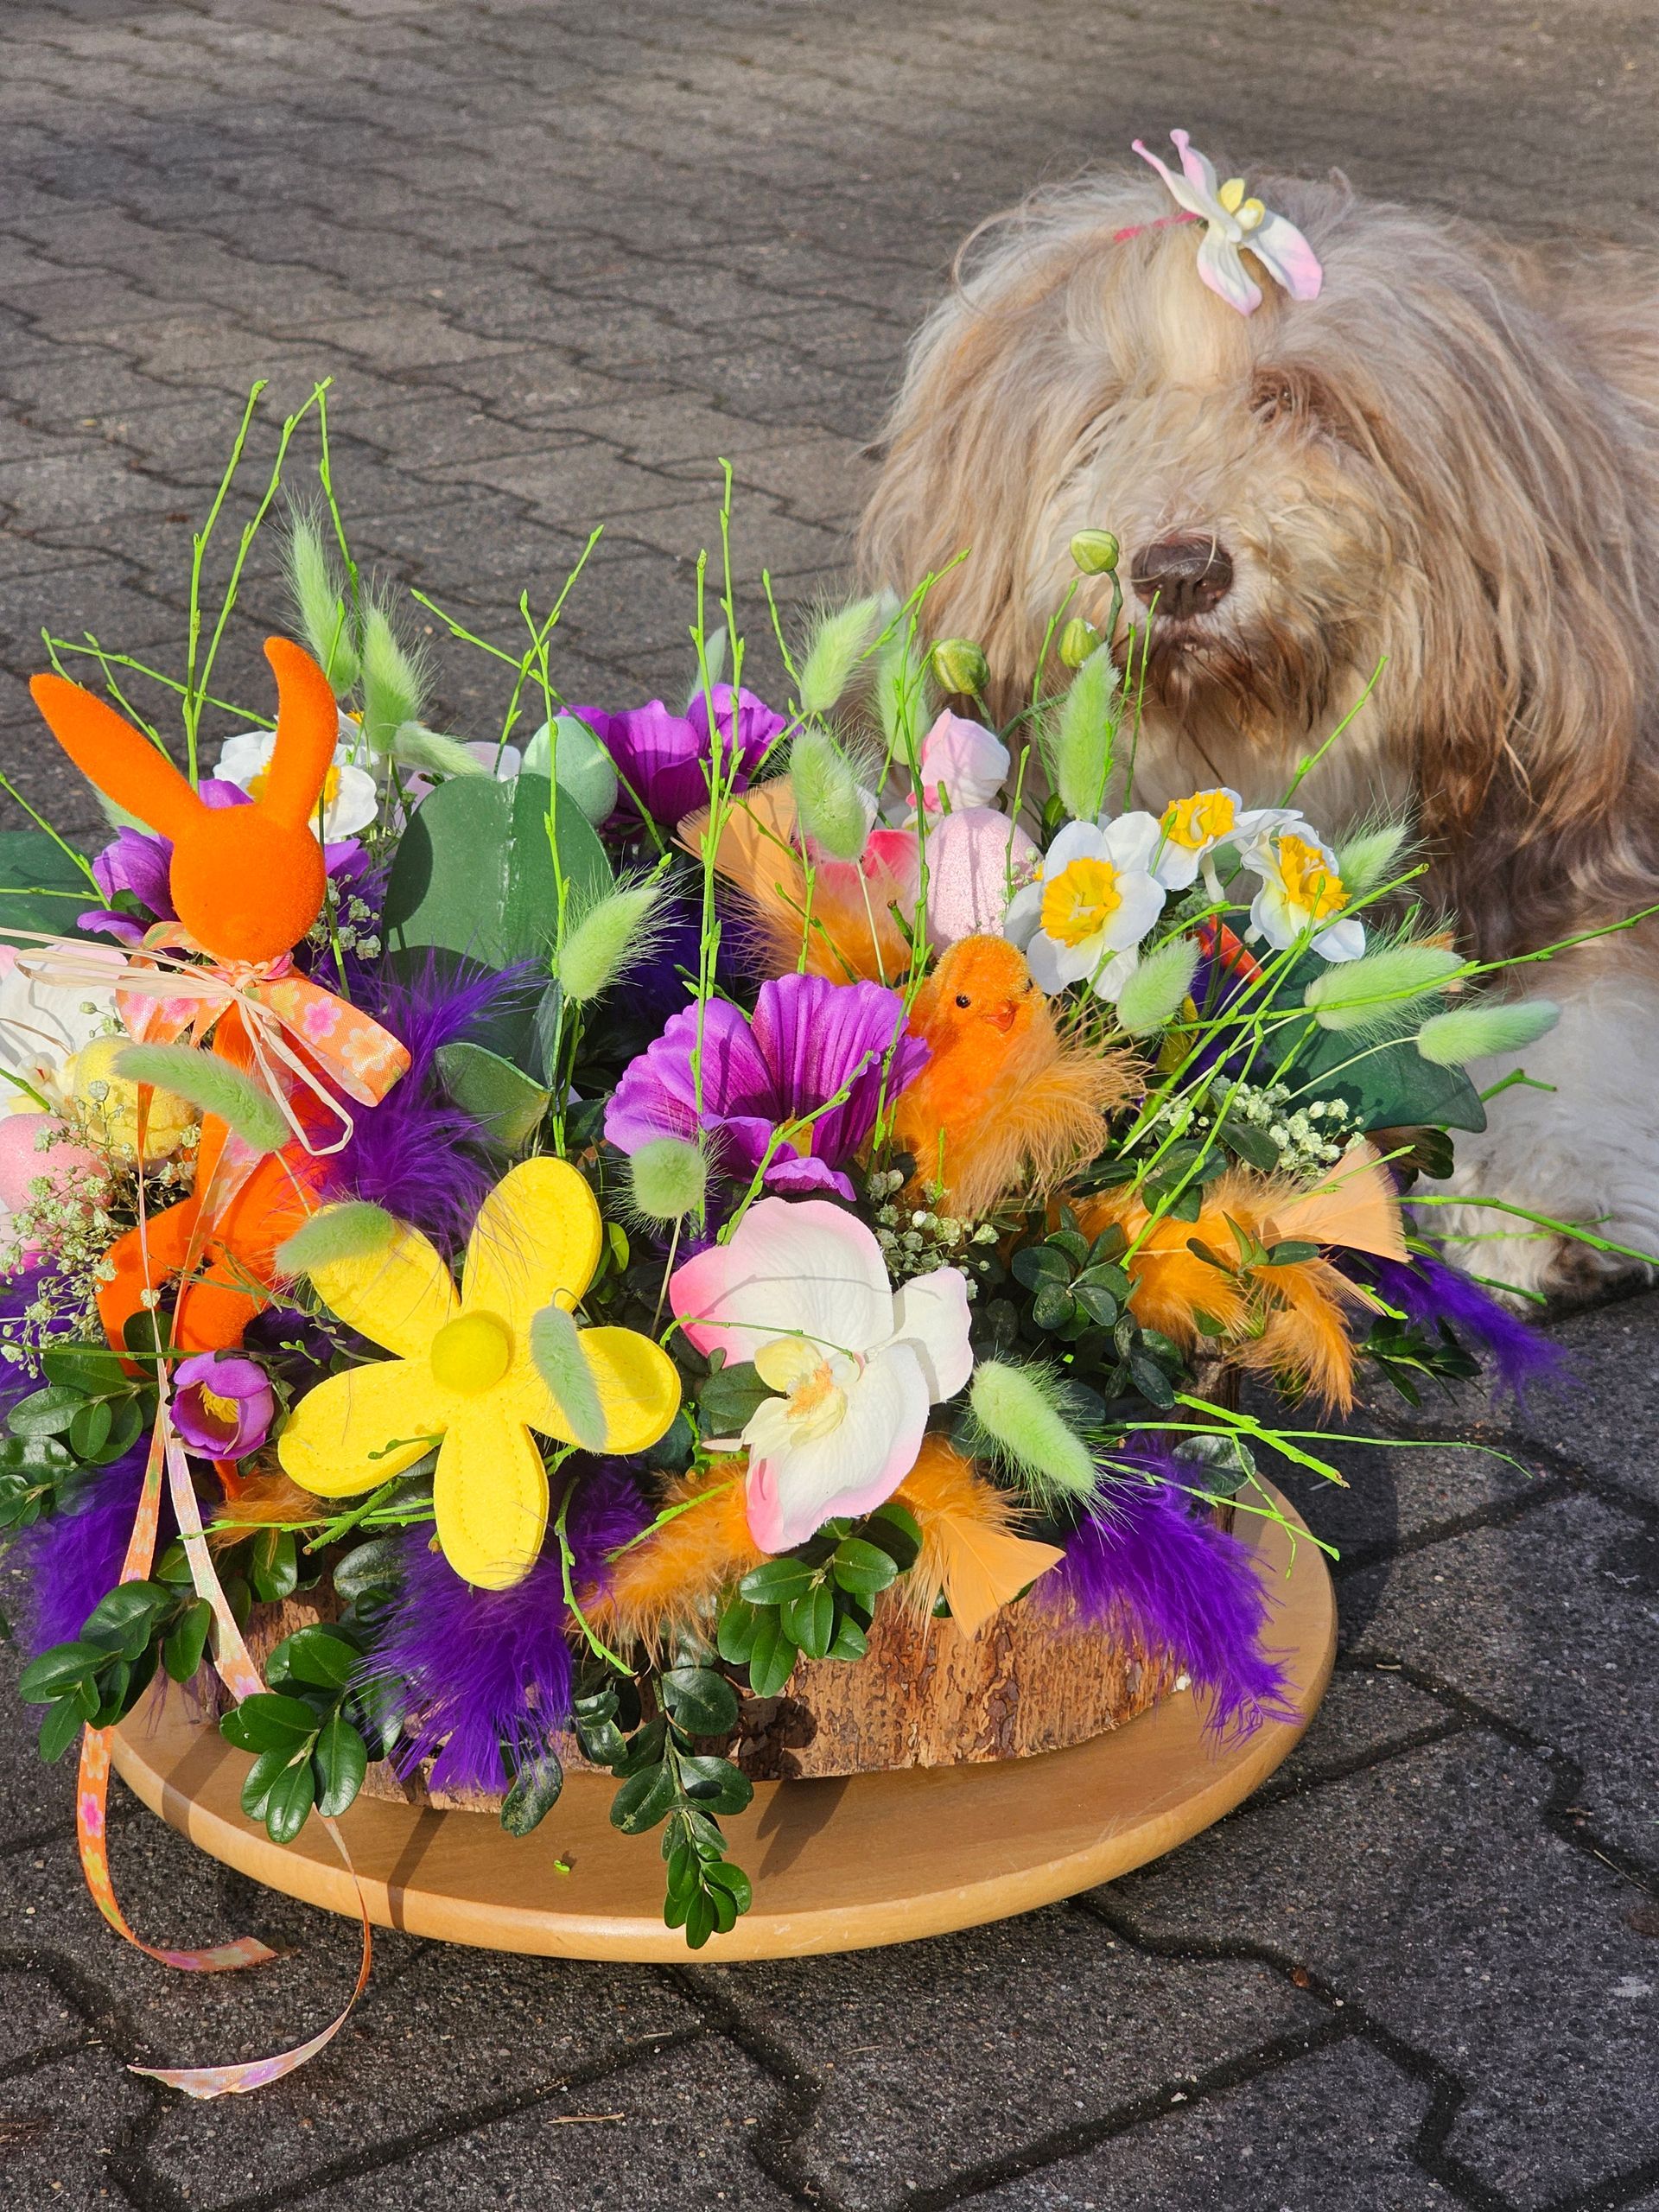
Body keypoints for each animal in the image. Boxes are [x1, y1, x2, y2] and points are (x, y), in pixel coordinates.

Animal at [858, 159, 1659, 1299]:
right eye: (1112, 409)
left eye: (1297, 401)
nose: (1178, 570)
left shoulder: (1575, 854)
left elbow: (1586, 1031)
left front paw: (1544, 1204)